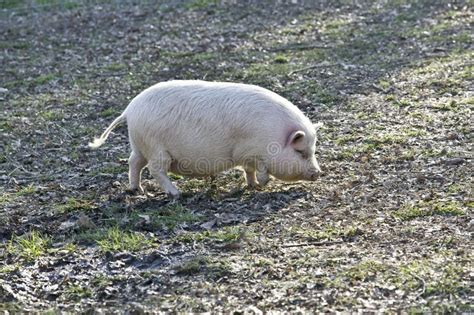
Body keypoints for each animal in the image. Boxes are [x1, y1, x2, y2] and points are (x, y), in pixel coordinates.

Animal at [89, 81, 322, 200]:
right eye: (301, 152)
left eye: (312, 150)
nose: (318, 173)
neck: (273, 137)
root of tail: (129, 110)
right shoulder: (252, 152)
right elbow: (260, 169)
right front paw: (264, 183)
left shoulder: (246, 156)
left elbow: (249, 171)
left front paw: (253, 185)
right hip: (156, 149)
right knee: (155, 170)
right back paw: (176, 193)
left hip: (140, 146)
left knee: (133, 163)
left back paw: (138, 190)